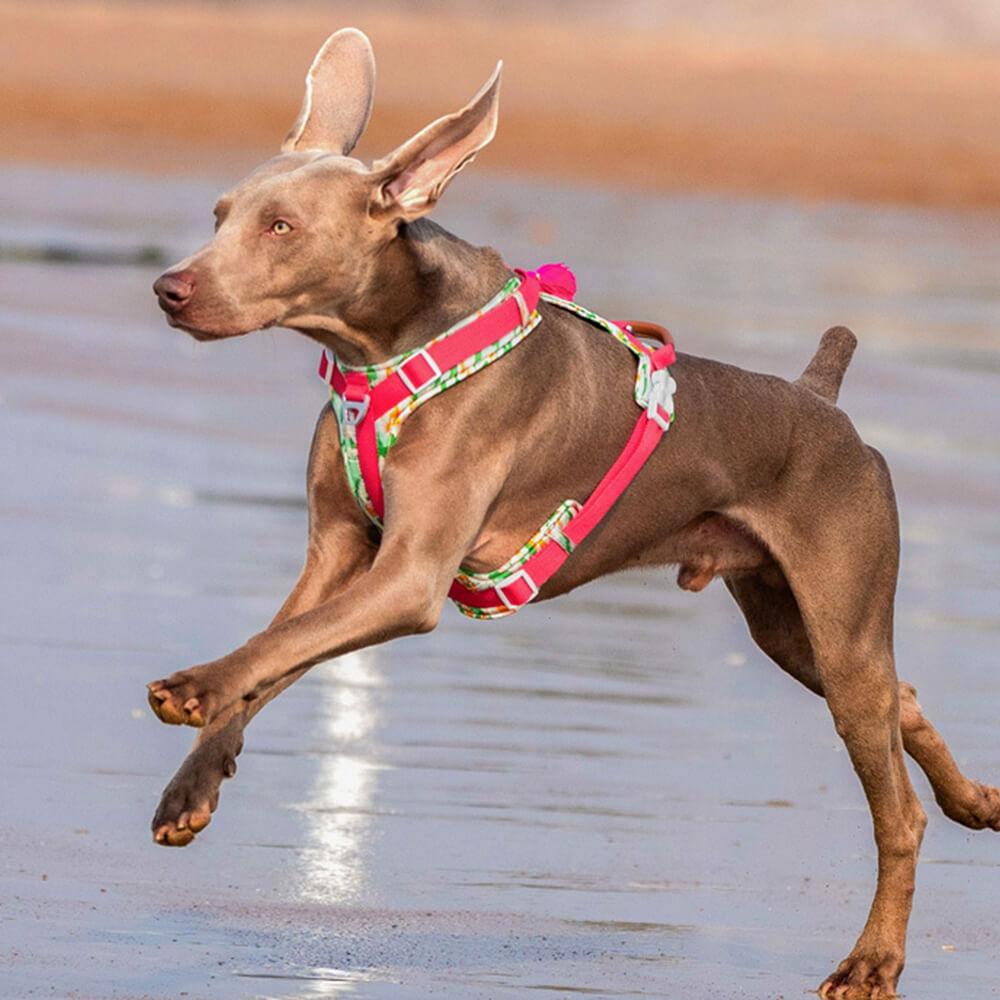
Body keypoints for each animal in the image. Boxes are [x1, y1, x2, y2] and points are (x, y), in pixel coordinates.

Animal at [148, 27, 1000, 996]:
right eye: (220, 213)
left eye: (281, 228)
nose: (169, 289)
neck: (386, 344)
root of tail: (824, 403)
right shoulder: (340, 554)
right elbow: (277, 653)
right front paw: (192, 786)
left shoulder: (407, 577)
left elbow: (275, 648)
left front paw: (193, 686)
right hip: (796, 629)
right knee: (905, 699)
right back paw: (975, 801)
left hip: (840, 617)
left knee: (896, 810)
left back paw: (871, 961)